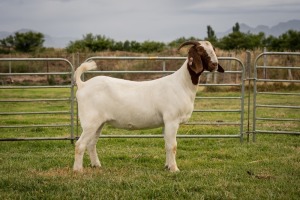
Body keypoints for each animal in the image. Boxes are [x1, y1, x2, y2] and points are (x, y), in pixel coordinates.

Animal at [72, 41, 223, 172]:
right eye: (200, 50)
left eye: (213, 49)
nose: (215, 64)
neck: (182, 84)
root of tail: (83, 85)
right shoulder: (172, 120)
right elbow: (173, 145)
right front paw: (174, 169)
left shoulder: (166, 122)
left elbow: (167, 145)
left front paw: (167, 166)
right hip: (90, 121)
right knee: (80, 144)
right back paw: (78, 170)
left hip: (99, 123)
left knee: (91, 143)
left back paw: (96, 165)